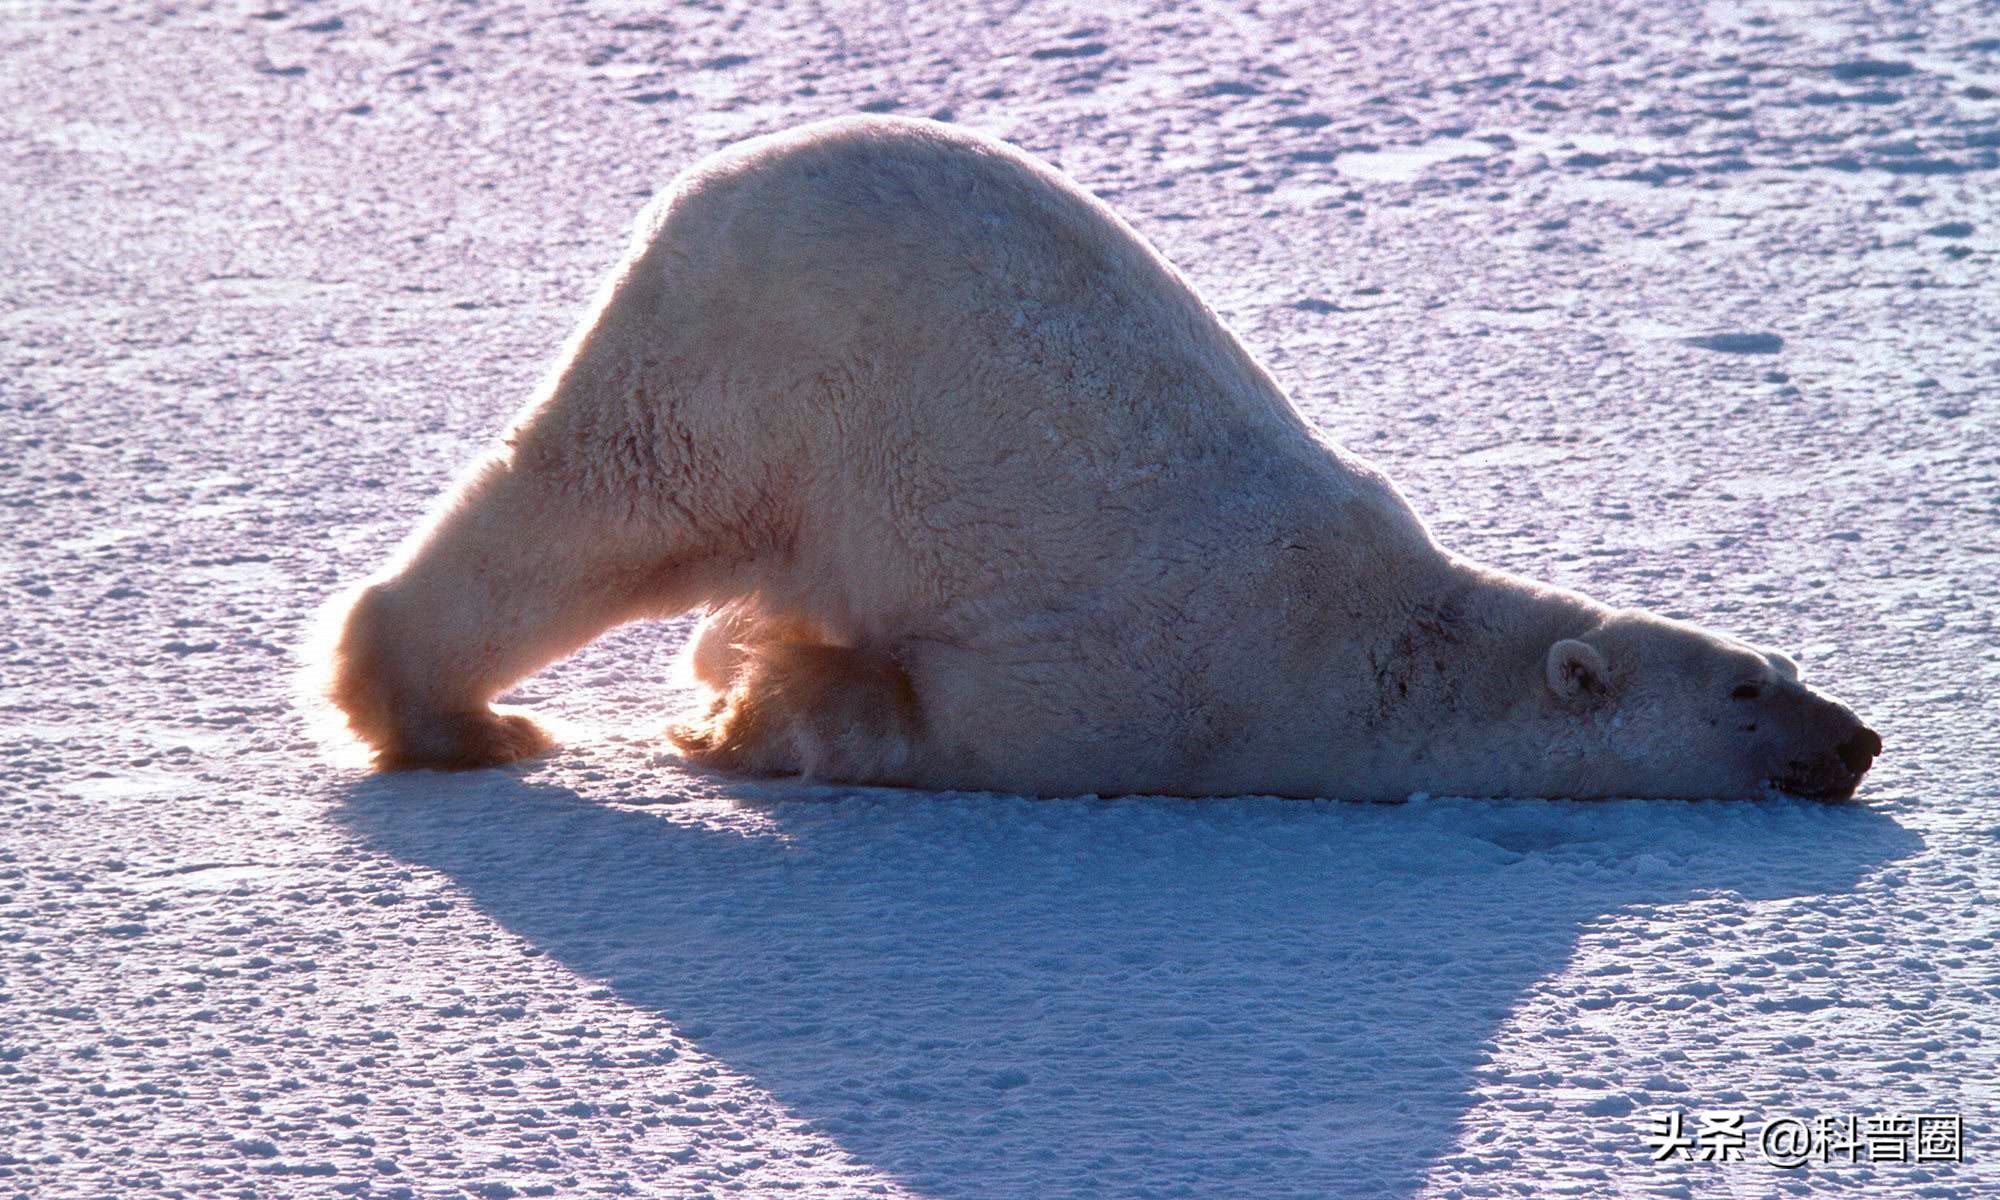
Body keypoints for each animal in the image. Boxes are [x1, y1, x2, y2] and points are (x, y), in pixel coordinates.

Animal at [320, 117, 1880, 800]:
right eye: (1749, 690)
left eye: (1787, 661)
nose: (1859, 739)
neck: (1368, 647)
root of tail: (719, 176)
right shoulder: (1160, 686)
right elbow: (944, 711)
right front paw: (755, 703)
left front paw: (734, 682)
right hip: (756, 370)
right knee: (601, 509)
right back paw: (452, 719)